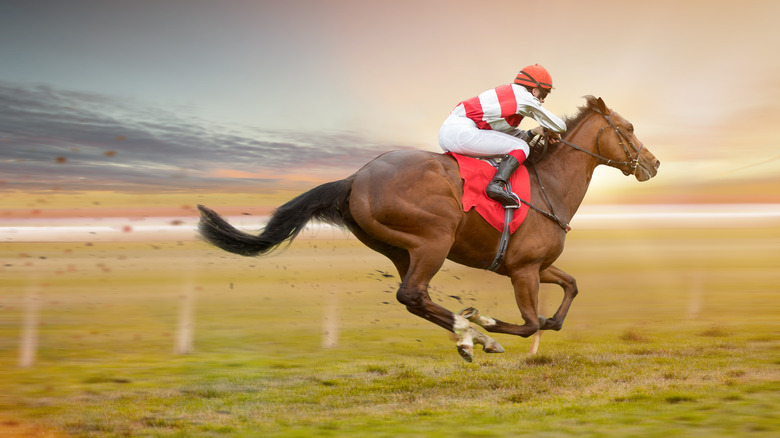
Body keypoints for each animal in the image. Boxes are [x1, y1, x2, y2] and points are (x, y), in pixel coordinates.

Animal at [200, 96, 660, 362]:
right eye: (629, 128)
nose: (654, 163)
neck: (551, 185)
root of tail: (355, 178)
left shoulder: (534, 265)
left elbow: (569, 291)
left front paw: (512, 327)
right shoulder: (524, 270)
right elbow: (531, 322)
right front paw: (489, 325)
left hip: (399, 249)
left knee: (414, 298)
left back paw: (468, 336)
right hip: (433, 241)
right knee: (413, 294)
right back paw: (474, 334)